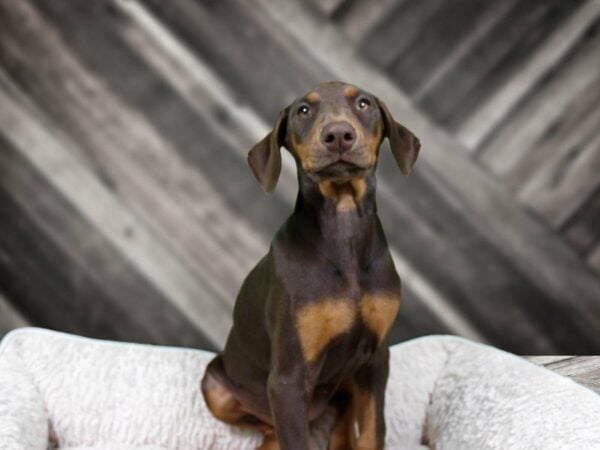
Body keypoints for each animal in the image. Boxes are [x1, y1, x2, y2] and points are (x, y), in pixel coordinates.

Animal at [199, 81, 420, 450]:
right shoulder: (288, 378)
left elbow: (373, 430)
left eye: (364, 104)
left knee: (341, 404)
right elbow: (295, 437)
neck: (343, 222)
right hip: (217, 387)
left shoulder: (376, 359)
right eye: (303, 110)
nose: (339, 135)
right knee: (271, 427)